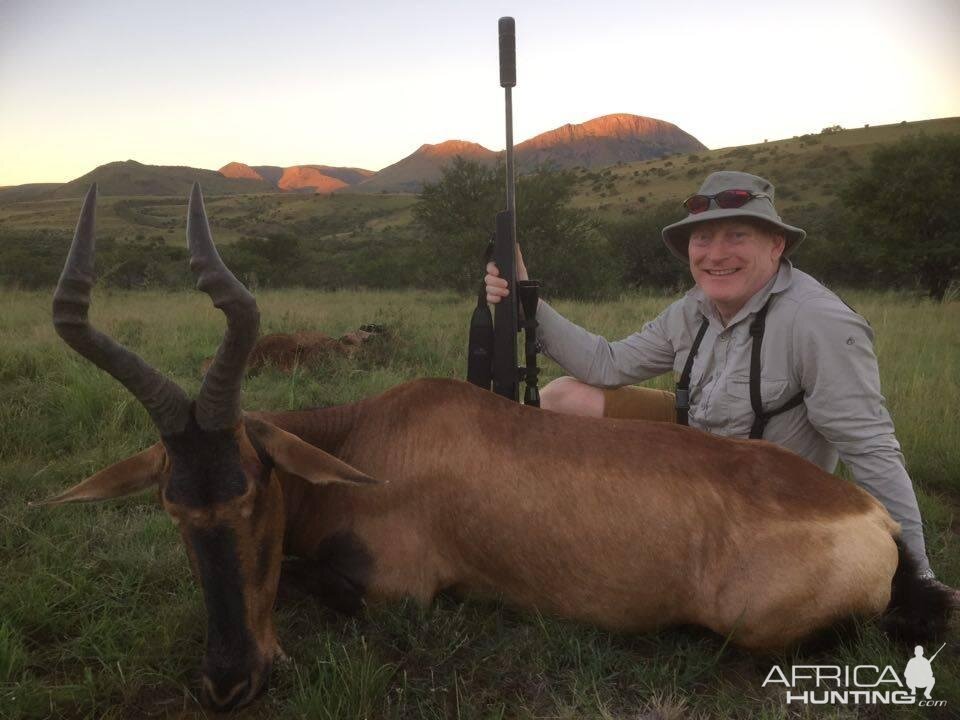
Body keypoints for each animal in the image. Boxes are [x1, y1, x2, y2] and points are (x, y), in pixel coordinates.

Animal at [37, 183, 952, 712]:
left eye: (253, 489)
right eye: (172, 504)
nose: (230, 680)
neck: (374, 438)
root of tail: (872, 515)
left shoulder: (399, 593)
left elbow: (307, 578)